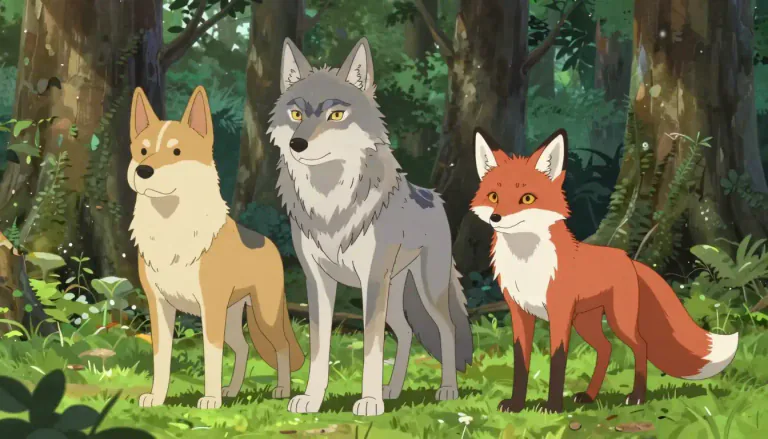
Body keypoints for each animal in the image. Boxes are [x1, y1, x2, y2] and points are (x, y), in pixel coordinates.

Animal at [128, 85, 304, 409]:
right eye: (143, 151)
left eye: (176, 152)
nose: (143, 170)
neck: (171, 224)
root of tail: (268, 242)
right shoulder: (159, 306)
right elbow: (161, 358)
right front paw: (157, 398)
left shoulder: (210, 307)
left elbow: (211, 356)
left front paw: (209, 400)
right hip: (233, 317)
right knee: (244, 348)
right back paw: (232, 391)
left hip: (265, 315)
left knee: (282, 347)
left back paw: (282, 390)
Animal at [269, 37, 474, 416]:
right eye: (296, 115)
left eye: (336, 115)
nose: (297, 144)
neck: (329, 204)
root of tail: (433, 195)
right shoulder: (317, 281)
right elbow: (320, 347)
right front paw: (312, 399)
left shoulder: (372, 280)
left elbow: (372, 346)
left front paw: (368, 402)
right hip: (395, 293)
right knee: (406, 333)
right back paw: (392, 390)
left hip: (427, 289)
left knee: (447, 329)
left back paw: (447, 390)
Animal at [471, 128, 739, 413]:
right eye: (494, 196)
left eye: (527, 198)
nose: (496, 218)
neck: (527, 264)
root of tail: (629, 259)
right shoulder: (520, 313)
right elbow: (521, 362)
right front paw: (516, 404)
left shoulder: (559, 313)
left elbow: (558, 360)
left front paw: (553, 407)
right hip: (585, 322)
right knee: (606, 349)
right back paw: (589, 396)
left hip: (617, 320)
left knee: (639, 346)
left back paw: (637, 397)